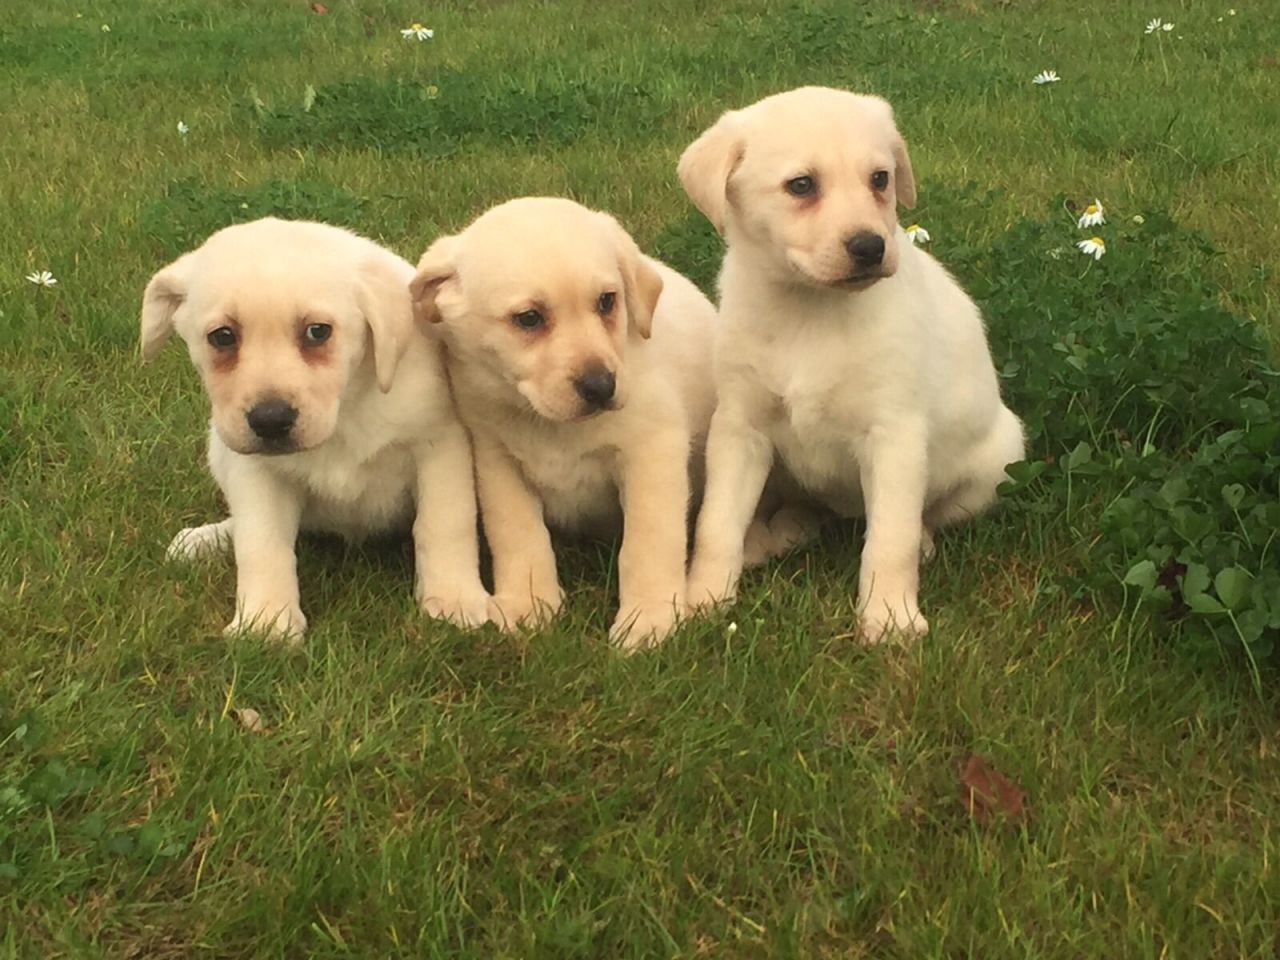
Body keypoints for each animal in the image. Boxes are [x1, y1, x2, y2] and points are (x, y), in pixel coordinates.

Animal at [141, 215, 488, 642]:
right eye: (222, 336)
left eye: (317, 331)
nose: (270, 420)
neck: (344, 413)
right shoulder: (255, 472)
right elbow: (260, 542)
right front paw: (265, 622)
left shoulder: (439, 447)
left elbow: (443, 526)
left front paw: (453, 601)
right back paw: (205, 540)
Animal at [414, 198, 727, 650]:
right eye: (529, 318)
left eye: (607, 301)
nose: (601, 386)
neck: (549, 423)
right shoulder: (495, 459)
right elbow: (519, 535)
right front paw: (527, 604)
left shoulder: (653, 453)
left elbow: (648, 544)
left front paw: (649, 620)